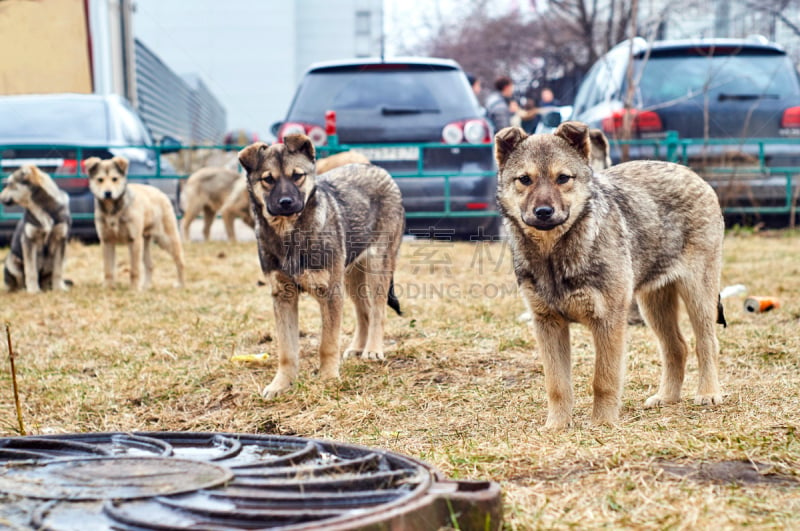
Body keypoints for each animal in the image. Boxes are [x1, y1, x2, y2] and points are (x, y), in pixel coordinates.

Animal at [0, 165, 70, 294]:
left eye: (10, 184)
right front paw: (33, 290)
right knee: (19, 282)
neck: (41, 207)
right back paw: (23, 290)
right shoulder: (29, 241)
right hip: (11, 260)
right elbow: (31, 270)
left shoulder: (61, 240)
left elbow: (58, 270)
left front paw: (59, 288)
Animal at [85, 156, 185, 290]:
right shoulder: (107, 241)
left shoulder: (134, 240)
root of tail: (160, 192)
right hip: (145, 243)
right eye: (100, 180)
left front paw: (134, 289)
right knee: (150, 265)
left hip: (166, 239)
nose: (108, 193)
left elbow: (134, 269)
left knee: (180, 260)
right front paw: (108, 287)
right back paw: (146, 286)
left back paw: (181, 284)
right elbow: (108, 269)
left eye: (114, 179)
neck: (113, 209)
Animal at [494, 122, 724, 430]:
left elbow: (603, 380)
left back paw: (708, 393)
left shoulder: (608, 321)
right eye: (524, 180)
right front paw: (556, 426)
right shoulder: (548, 324)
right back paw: (667, 398)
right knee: (677, 347)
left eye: (563, 178)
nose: (543, 212)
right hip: (653, 304)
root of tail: (691, 173)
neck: (555, 254)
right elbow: (557, 385)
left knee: (705, 343)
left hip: (698, 295)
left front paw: (602, 424)